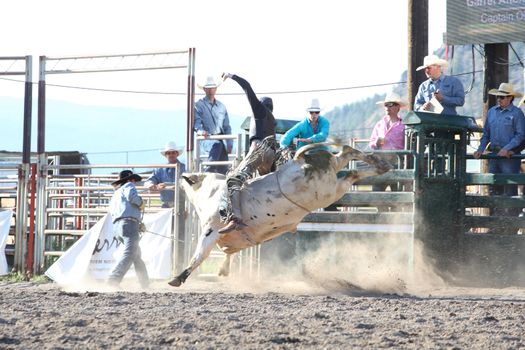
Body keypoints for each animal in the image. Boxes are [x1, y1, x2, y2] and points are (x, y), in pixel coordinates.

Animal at [168, 143, 388, 288]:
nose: (178, 179)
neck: (210, 193)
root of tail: (299, 160)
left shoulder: (211, 230)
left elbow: (199, 254)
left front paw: (178, 278)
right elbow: (227, 253)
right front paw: (223, 270)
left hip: (328, 189)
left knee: (349, 163)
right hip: (333, 184)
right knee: (348, 162)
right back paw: (380, 164)